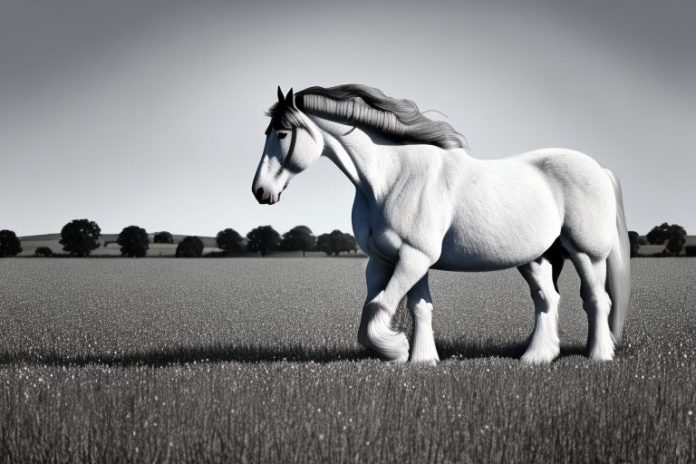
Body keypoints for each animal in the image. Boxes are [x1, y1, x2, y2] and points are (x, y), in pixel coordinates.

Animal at [252, 84, 630, 364]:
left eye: (283, 133)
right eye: (268, 131)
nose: (260, 191)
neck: (391, 178)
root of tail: (599, 170)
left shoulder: (414, 257)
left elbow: (379, 307)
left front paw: (396, 349)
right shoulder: (388, 260)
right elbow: (409, 308)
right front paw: (422, 360)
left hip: (586, 254)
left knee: (597, 300)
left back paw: (599, 356)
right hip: (536, 259)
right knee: (547, 300)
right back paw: (535, 358)